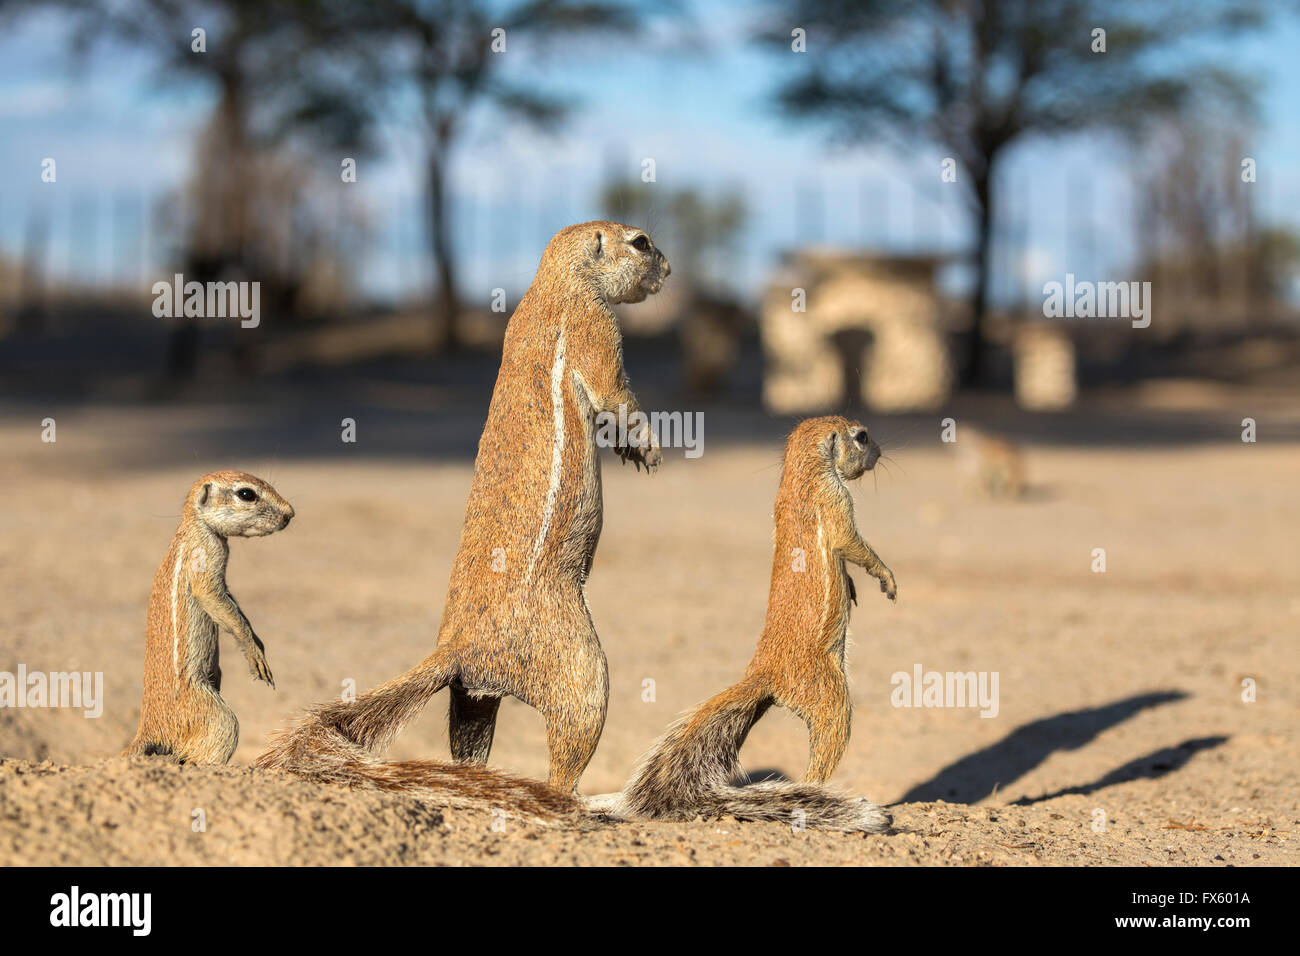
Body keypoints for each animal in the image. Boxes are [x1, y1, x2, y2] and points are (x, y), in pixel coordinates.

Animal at [120, 476, 293, 764]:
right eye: (246, 494)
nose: (290, 513)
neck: (196, 525)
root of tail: (147, 729)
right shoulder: (206, 559)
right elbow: (216, 600)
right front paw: (254, 654)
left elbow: (234, 605)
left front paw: (258, 642)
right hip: (211, 713)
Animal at [260, 222, 676, 816]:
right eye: (641, 242)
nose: (668, 268)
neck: (553, 284)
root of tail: (457, 649)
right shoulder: (597, 330)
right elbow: (616, 394)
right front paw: (647, 448)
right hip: (580, 668)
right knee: (565, 760)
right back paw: (589, 801)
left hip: (470, 695)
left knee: (470, 737)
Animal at [605, 418, 894, 832]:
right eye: (862, 437)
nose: (881, 451)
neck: (801, 473)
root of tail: (763, 673)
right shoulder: (835, 501)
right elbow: (851, 543)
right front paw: (886, 578)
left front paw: (854, 587)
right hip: (829, 692)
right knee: (825, 746)